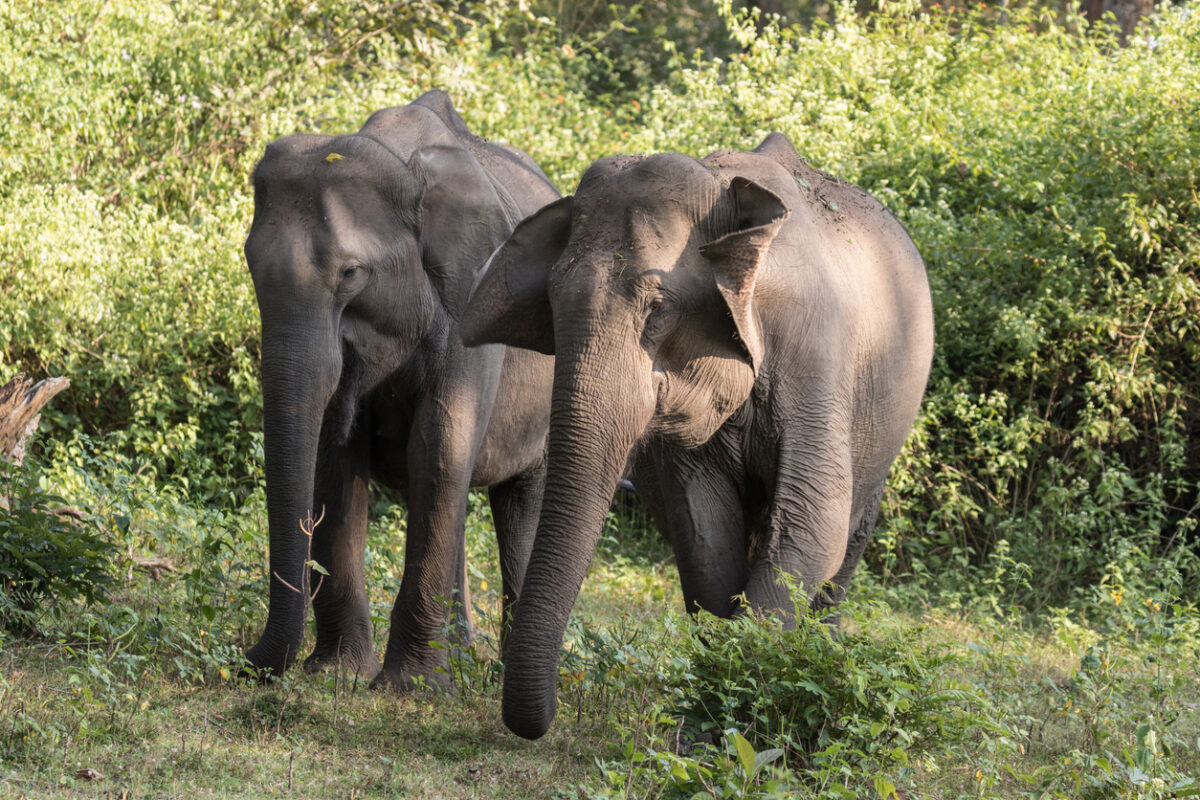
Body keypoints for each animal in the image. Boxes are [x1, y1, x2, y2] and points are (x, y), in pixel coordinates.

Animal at [241, 90, 557, 688]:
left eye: (351, 274)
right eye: (248, 263)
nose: (247, 660)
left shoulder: (470, 303)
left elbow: (439, 445)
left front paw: (407, 690)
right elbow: (337, 461)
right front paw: (336, 674)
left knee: (518, 499)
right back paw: (462, 659)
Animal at [461, 133, 935, 739]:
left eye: (658, 308)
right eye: (550, 302)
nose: (540, 722)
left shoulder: (817, 354)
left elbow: (810, 523)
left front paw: (734, 721)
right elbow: (704, 532)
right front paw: (706, 727)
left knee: (846, 544)